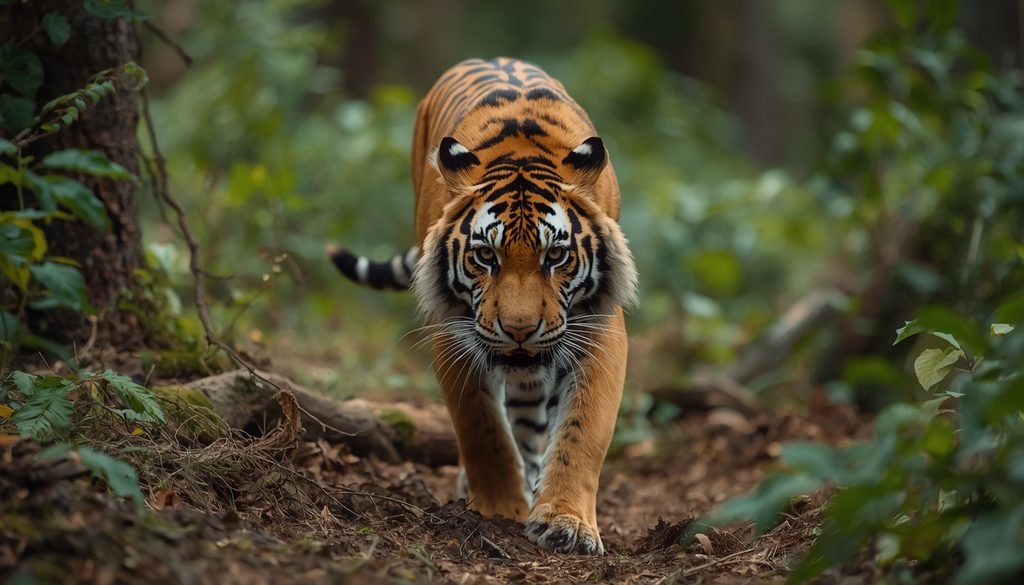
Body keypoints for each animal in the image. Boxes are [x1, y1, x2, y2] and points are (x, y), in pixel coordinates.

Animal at [329, 57, 637, 555]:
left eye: (556, 255)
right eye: (485, 256)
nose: (519, 329)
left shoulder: (598, 326)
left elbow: (583, 431)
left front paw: (565, 522)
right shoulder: (452, 331)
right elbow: (480, 426)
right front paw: (499, 510)